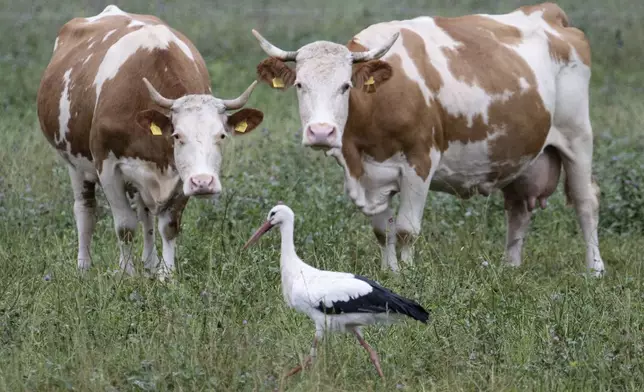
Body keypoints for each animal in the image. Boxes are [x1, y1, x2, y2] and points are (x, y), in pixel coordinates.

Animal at [37, 3, 264, 278]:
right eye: (177, 135)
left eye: (221, 135)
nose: (203, 183)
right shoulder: (108, 168)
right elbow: (124, 226)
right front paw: (126, 274)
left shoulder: (180, 177)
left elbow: (168, 226)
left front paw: (166, 275)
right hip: (75, 164)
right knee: (85, 210)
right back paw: (84, 266)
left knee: (145, 215)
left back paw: (149, 263)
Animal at [250, 1, 604, 274]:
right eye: (300, 85)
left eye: (345, 86)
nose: (321, 132)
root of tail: (546, 12)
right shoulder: (370, 174)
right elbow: (382, 231)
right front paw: (389, 272)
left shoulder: (420, 162)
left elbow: (406, 229)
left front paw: (408, 274)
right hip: (521, 154)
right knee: (518, 210)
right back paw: (510, 268)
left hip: (577, 137)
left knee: (586, 202)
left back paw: (594, 269)